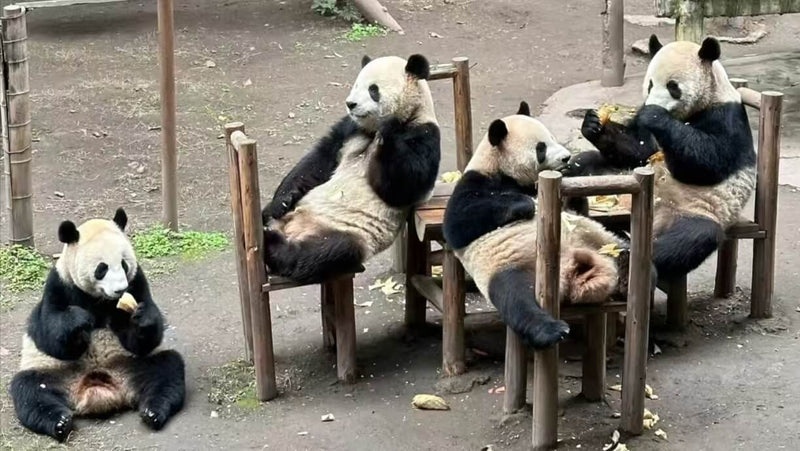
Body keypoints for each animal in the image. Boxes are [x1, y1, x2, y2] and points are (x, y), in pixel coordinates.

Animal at [9, 209, 185, 442]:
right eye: (102, 269)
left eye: (124, 264)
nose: (120, 289)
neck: (100, 299)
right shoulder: (59, 284)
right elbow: (52, 335)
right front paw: (79, 320)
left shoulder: (136, 282)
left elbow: (141, 339)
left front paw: (141, 317)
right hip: (52, 371)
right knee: (30, 391)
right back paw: (60, 423)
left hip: (136, 363)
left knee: (166, 371)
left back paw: (153, 411)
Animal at [261, 54, 441, 284]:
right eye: (356, 84)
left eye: (373, 89)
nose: (351, 103)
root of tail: (292, 230)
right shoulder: (351, 129)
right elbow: (320, 159)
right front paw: (282, 200)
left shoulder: (424, 134)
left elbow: (403, 188)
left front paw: (388, 128)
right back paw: (269, 219)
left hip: (352, 233)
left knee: (328, 251)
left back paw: (274, 244)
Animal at [443, 102, 627, 348]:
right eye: (541, 148)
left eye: (552, 137)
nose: (566, 158)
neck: (503, 170)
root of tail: (573, 275)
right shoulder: (476, 182)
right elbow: (458, 222)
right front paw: (526, 205)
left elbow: (576, 209)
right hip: (511, 267)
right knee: (517, 298)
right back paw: (552, 330)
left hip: (603, 241)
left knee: (625, 249)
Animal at [564, 35, 755, 281]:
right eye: (650, 84)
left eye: (673, 87)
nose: (653, 103)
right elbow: (640, 151)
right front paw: (593, 124)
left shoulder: (726, 116)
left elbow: (707, 163)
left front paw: (655, 115)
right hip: (614, 182)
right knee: (588, 163)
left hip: (696, 209)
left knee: (692, 237)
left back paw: (629, 255)